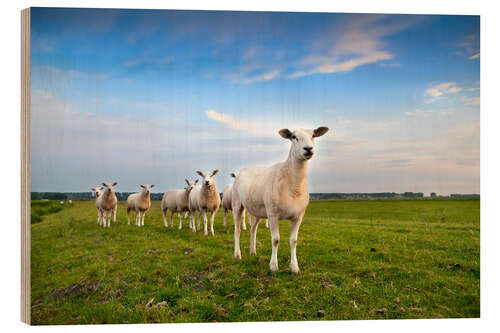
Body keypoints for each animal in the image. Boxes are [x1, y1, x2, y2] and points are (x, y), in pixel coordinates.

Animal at [232, 126, 330, 272]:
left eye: (313, 135)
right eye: (294, 137)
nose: (308, 149)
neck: (293, 186)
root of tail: (244, 170)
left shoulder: (299, 216)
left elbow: (294, 241)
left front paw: (294, 267)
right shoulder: (273, 214)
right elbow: (276, 240)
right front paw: (273, 266)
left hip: (257, 210)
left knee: (253, 229)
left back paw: (252, 251)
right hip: (237, 204)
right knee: (237, 230)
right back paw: (237, 254)